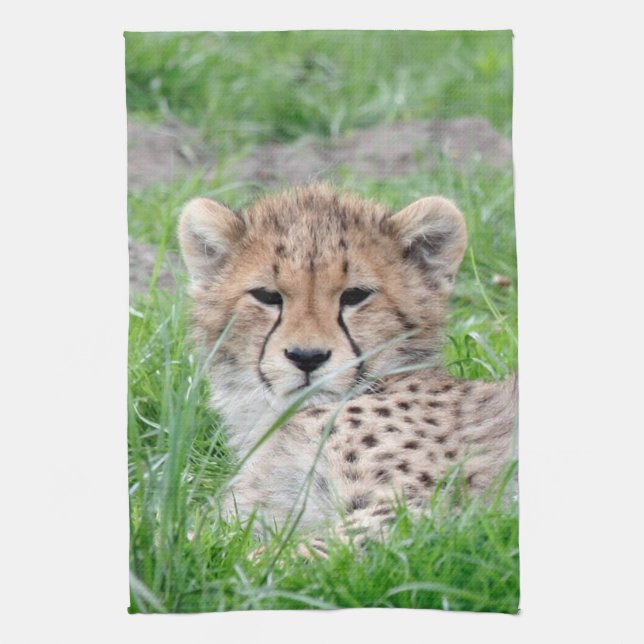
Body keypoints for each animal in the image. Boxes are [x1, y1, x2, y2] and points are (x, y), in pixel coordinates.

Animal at [179, 183, 517, 547]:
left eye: (355, 295)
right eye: (267, 296)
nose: (307, 357)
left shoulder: (429, 512)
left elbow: (292, 552)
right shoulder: (252, 515)